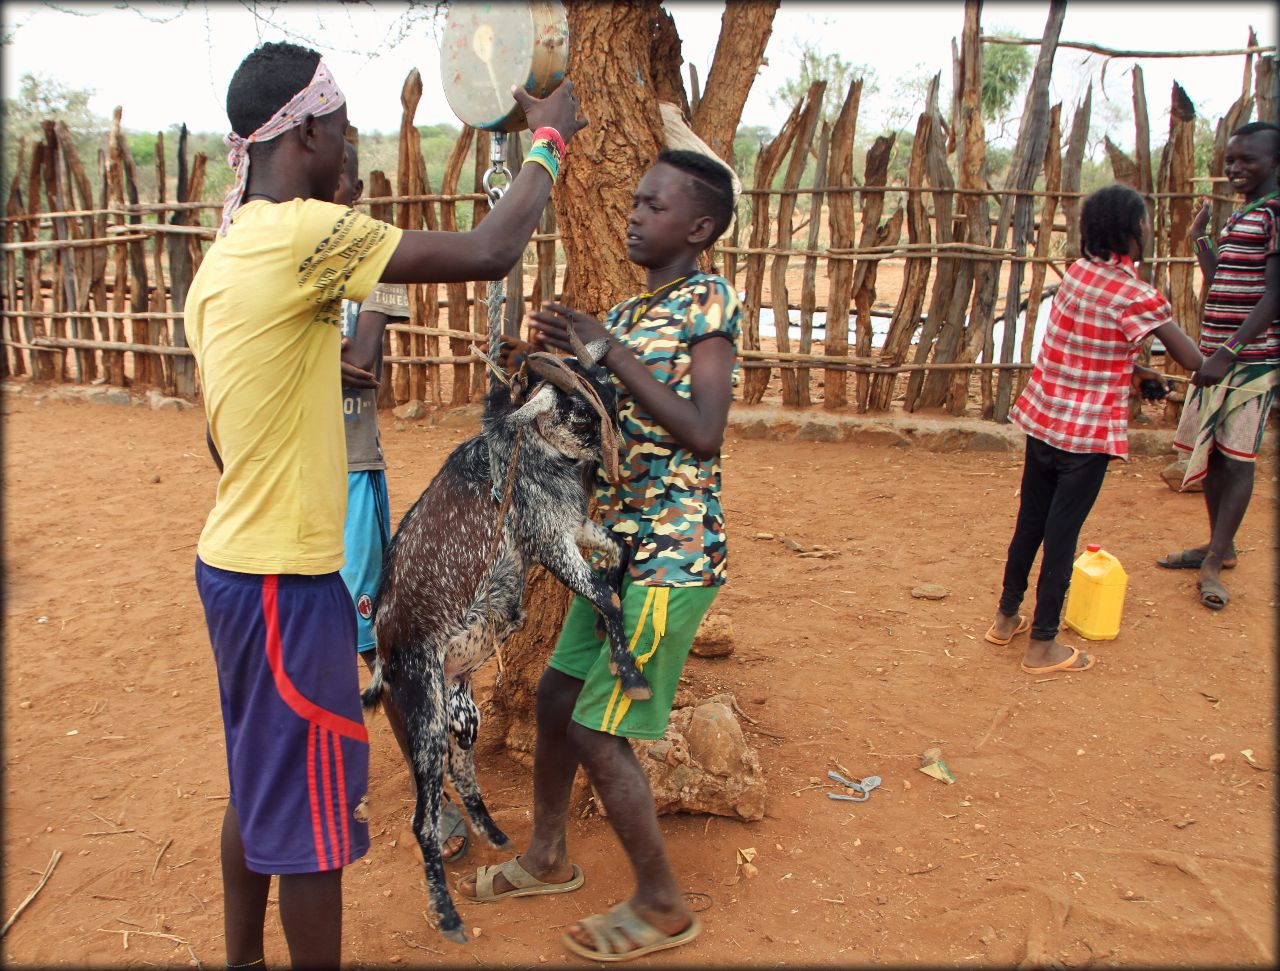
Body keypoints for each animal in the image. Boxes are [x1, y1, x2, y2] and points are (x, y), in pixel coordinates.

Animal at [366, 324, 655, 941]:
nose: (622, 461)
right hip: (424, 716)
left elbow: (620, 554)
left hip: (462, 707)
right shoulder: (548, 537)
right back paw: (447, 914)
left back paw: (494, 834)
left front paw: (608, 633)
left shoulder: (575, 525)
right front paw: (628, 672)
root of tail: (385, 651)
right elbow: (605, 592)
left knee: (463, 766)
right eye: (581, 413)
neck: (531, 453)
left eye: (613, 396)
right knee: (423, 819)